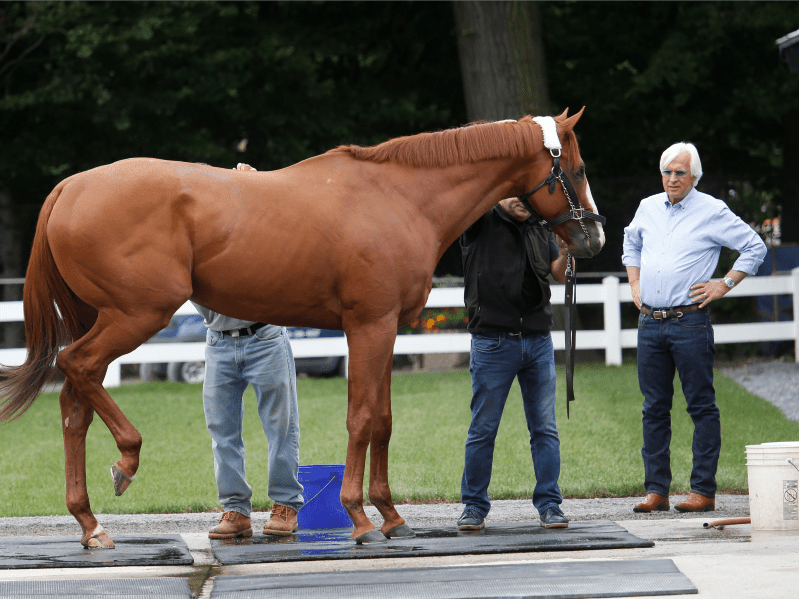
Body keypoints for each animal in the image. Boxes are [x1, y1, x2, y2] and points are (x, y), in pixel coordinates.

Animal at [0, 108, 604, 547]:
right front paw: (359, 516)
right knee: (77, 367)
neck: (400, 197)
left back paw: (89, 523)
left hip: (106, 318)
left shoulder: (387, 330)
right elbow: (362, 418)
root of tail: (70, 187)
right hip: (136, 315)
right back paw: (126, 461)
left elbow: (384, 421)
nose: (594, 239)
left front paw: (391, 514)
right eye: (575, 171)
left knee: (74, 403)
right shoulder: (368, 325)